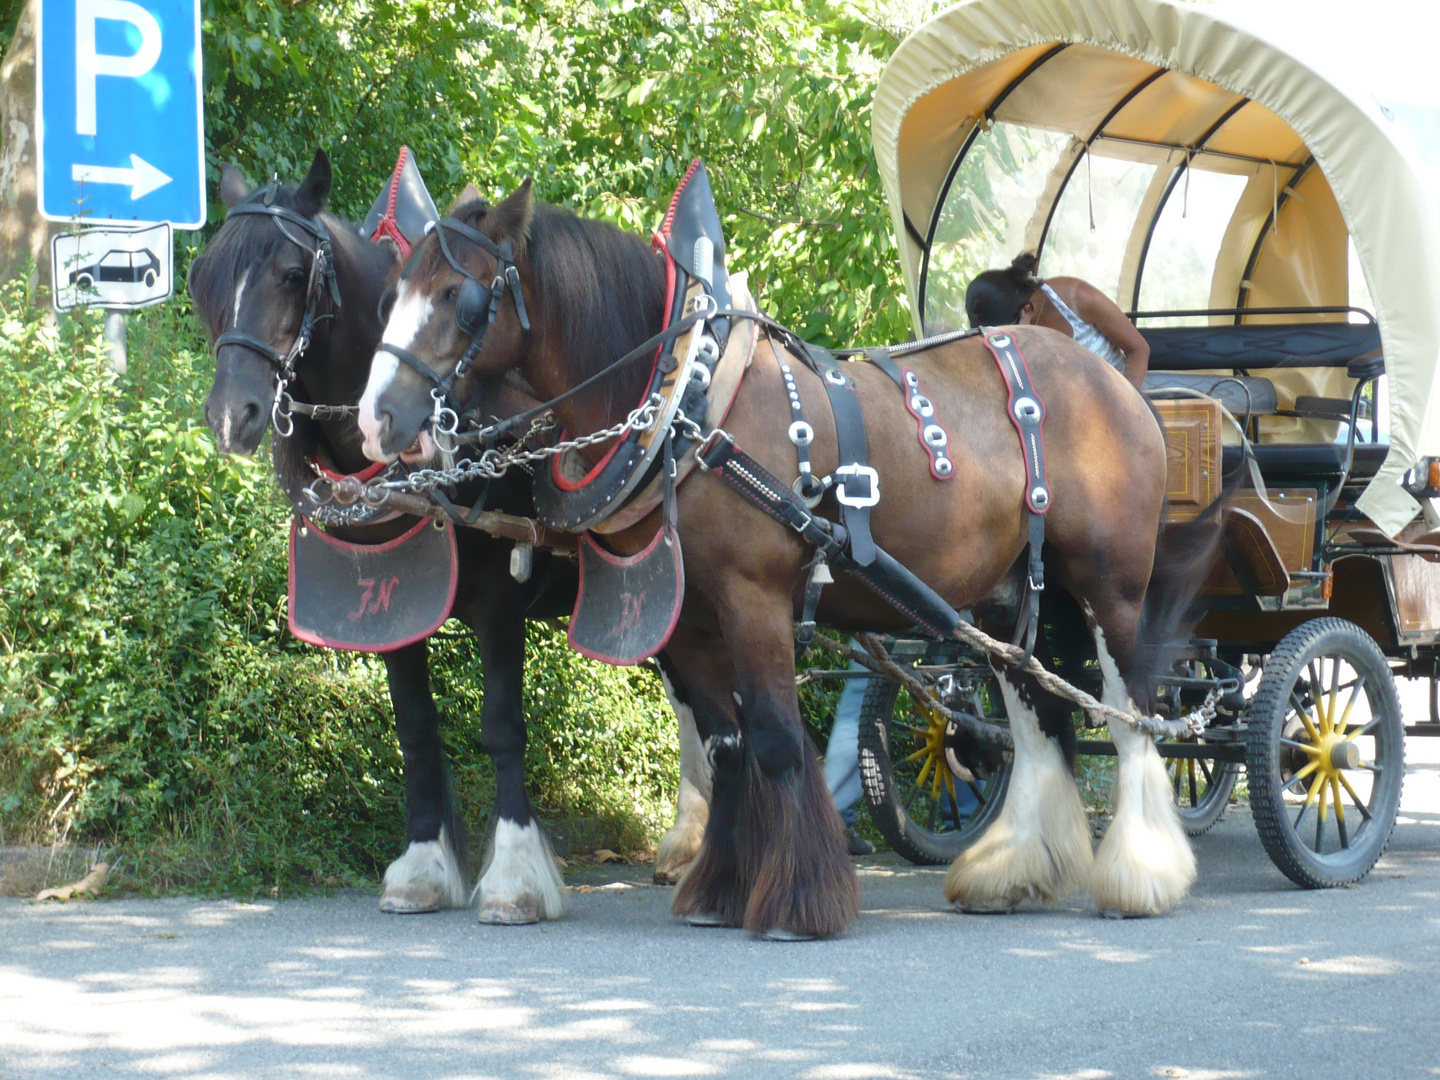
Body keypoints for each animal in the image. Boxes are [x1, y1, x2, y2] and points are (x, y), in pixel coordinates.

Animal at [187, 152, 714, 927]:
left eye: (290, 272)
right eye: (203, 279)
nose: (232, 415)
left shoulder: (500, 601)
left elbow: (500, 726)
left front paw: (516, 877)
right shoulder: (393, 605)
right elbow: (415, 728)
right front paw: (422, 867)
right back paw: (692, 845)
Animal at [357, 182, 1215, 944]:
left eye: (458, 297)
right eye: (390, 292)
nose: (374, 420)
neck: (691, 412)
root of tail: (1113, 380)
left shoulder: (756, 599)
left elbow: (773, 738)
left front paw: (798, 905)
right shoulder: (688, 621)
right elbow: (728, 746)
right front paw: (719, 892)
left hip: (1111, 586)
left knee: (1130, 710)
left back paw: (1140, 873)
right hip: (1005, 598)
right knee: (1041, 716)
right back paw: (1013, 872)